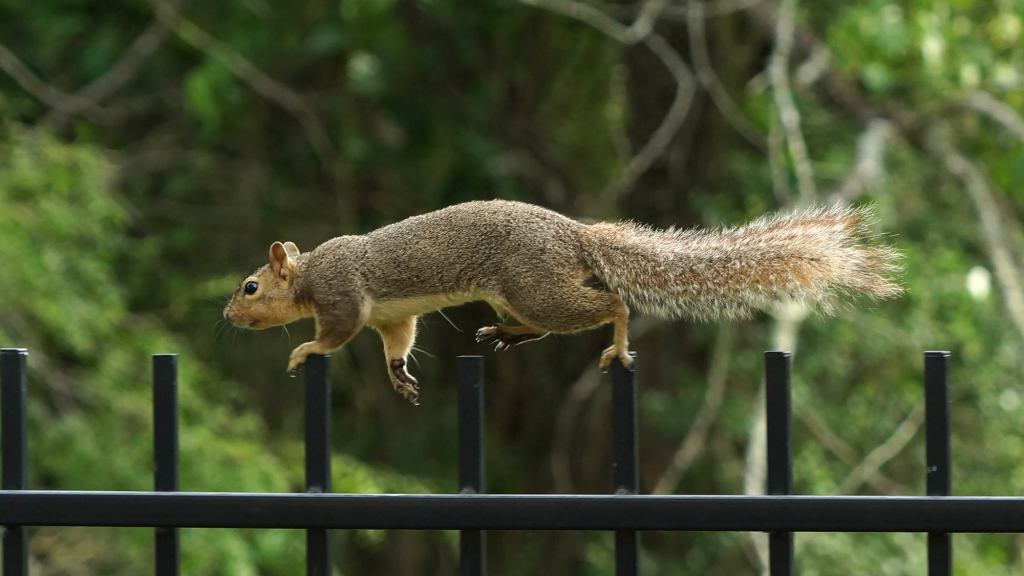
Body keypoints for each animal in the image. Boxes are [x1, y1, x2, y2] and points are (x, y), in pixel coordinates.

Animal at [222, 199, 897, 401]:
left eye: (251, 287)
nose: (227, 315)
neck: (309, 273)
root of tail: (577, 234)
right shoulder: (395, 314)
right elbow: (397, 341)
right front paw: (399, 376)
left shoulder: (343, 298)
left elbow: (333, 334)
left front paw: (303, 351)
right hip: (523, 296)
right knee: (541, 327)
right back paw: (502, 335)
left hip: (535, 286)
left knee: (610, 307)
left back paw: (617, 347)